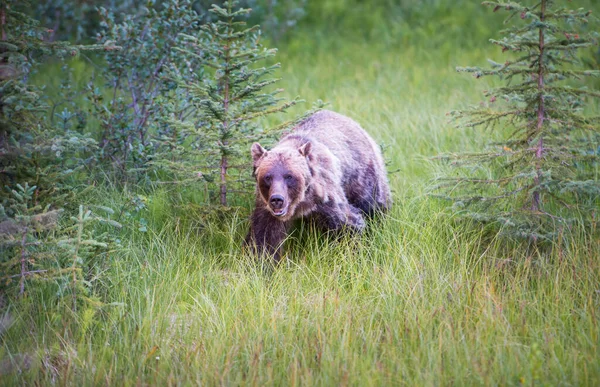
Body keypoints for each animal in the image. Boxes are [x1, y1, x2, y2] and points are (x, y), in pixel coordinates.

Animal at [245, 110, 392, 260]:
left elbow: (348, 223)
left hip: (362, 174)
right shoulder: (265, 207)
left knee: (373, 203)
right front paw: (261, 259)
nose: (277, 199)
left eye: (289, 176)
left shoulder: (326, 197)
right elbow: (264, 236)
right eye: (268, 177)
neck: (301, 203)